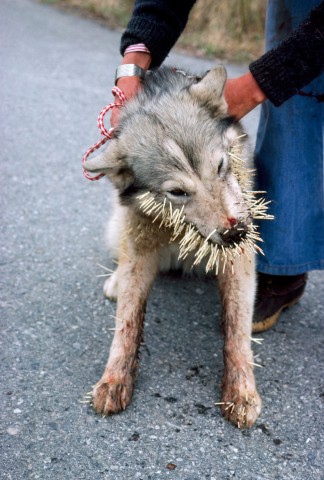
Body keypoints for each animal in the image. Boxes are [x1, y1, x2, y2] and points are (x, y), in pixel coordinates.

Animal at [84, 65, 266, 430]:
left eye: (221, 166)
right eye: (177, 192)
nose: (235, 232)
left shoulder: (239, 257)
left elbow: (237, 329)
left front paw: (241, 391)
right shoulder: (139, 246)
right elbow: (127, 322)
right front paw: (115, 378)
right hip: (118, 227)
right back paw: (116, 280)